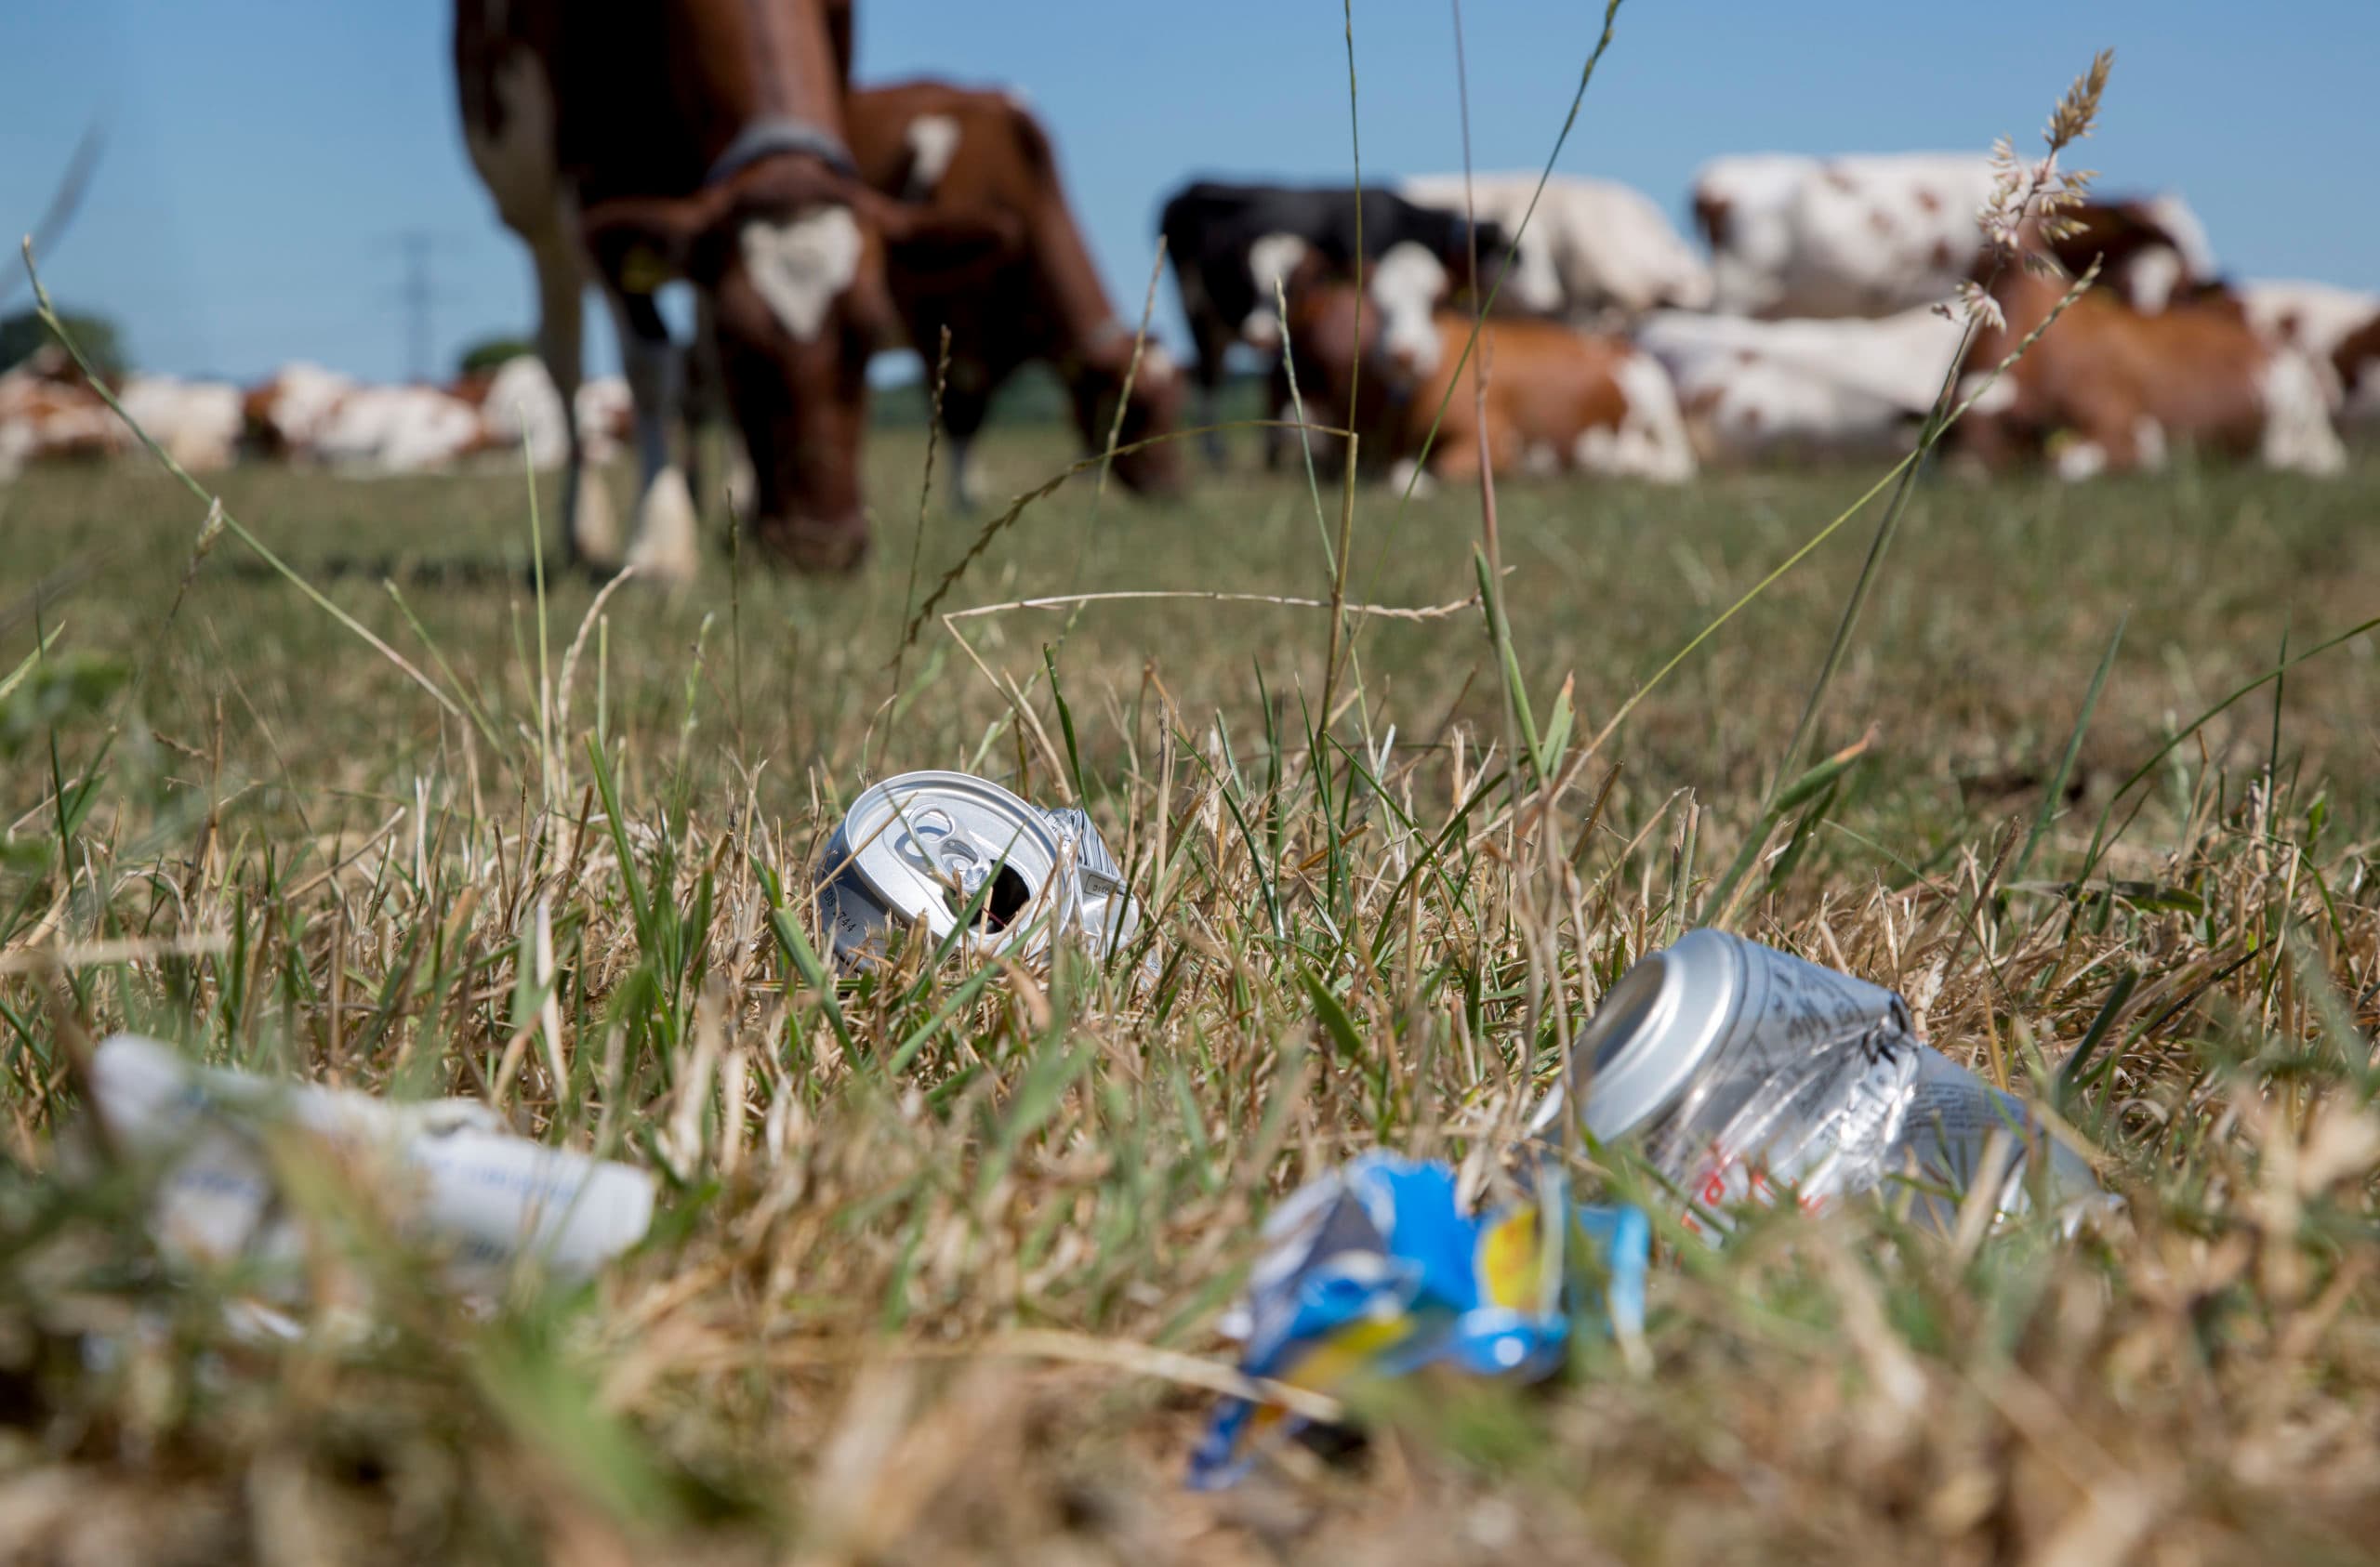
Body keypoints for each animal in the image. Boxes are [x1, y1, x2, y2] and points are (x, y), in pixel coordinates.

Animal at [453, 0, 1012, 582]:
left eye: (872, 330)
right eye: (738, 344)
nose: (821, 549)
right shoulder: (588, 184)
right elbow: (650, 366)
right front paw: (659, 543)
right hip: (542, 228)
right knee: (565, 359)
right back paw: (583, 528)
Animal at [845, 80, 1182, 509]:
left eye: (1176, 401)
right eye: (1137, 405)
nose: (1171, 488)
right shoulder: (932, 318)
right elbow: (960, 412)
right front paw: (963, 501)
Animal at [1156, 180, 1507, 465]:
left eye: (1439, 298)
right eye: (1246, 280)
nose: (1259, 335)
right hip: (1197, 312)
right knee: (1210, 374)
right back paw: (1218, 454)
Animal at [1281, 278, 1694, 487]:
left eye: (1436, 302)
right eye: (1378, 306)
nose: (1403, 354)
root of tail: (1616, 341)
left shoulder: (1490, 440)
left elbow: (1438, 471)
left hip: (1659, 410)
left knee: (1673, 463)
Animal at [1952, 224, 2343, 480]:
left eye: (2012, 425)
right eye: (1954, 430)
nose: (1966, 476)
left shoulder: (2133, 433)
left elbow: (2065, 465)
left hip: (2301, 435)